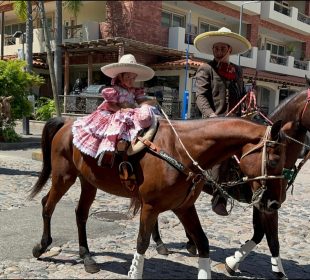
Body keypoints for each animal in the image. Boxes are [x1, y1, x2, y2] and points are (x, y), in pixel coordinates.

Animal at [28, 115, 286, 278]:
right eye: (274, 160)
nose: (274, 203)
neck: (181, 151)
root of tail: (67, 121)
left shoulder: (184, 207)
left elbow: (202, 243)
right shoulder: (150, 207)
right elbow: (142, 243)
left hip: (88, 182)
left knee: (80, 213)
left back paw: (87, 258)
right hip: (64, 177)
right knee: (47, 205)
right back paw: (42, 246)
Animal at [152, 87, 310, 278]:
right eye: (273, 161)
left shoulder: (263, 202)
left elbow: (259, 234)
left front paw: (232, 262)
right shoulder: (266, 204)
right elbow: (272, 239)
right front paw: (278, 273)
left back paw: (190, 242)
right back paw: (160, 244)